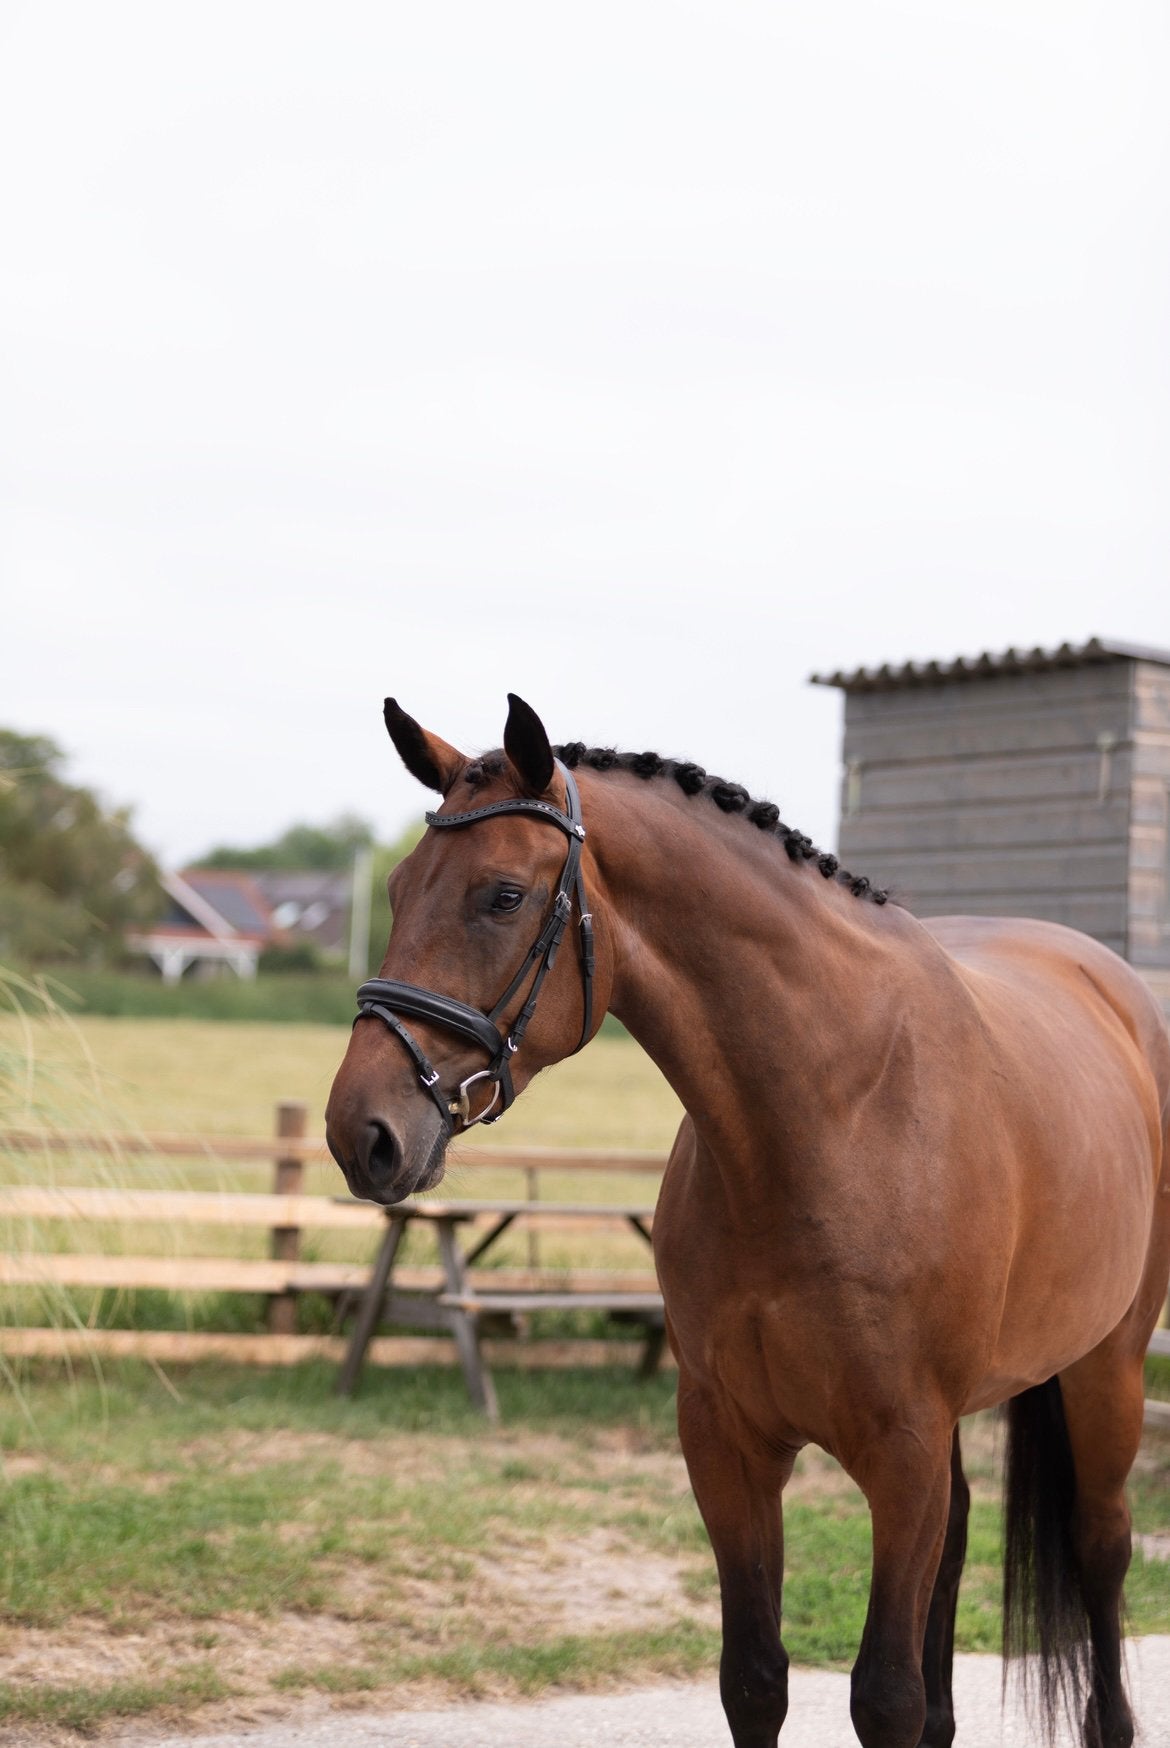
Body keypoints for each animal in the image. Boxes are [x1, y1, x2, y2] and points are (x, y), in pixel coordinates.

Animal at [325, 693, 1170, 1748]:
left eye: (504, 897)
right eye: (398, 889)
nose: (361, 1133)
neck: (826, 1119)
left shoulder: (901, 1450)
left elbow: (883, 1696)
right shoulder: (729, 1444)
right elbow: (756, 1680)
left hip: (1106, 1372)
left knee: (1102, 1550)